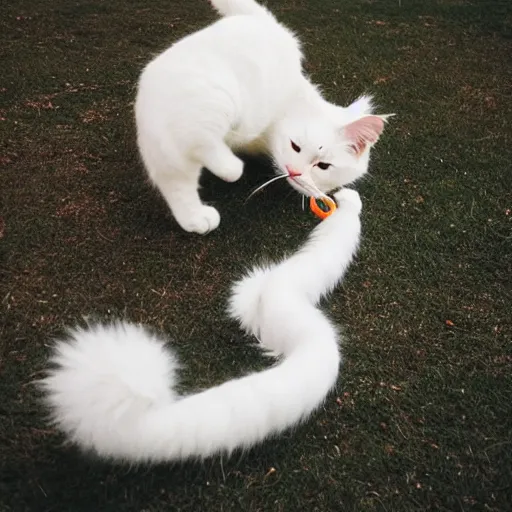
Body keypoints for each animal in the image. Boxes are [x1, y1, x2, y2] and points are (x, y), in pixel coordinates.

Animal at [134, 0, 390, 233]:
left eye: (323, 166)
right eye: (295, 146)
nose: (295, 171)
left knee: (176, 178)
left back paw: (195, 217)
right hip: (220, 96)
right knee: (199, 137)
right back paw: (229, 167)